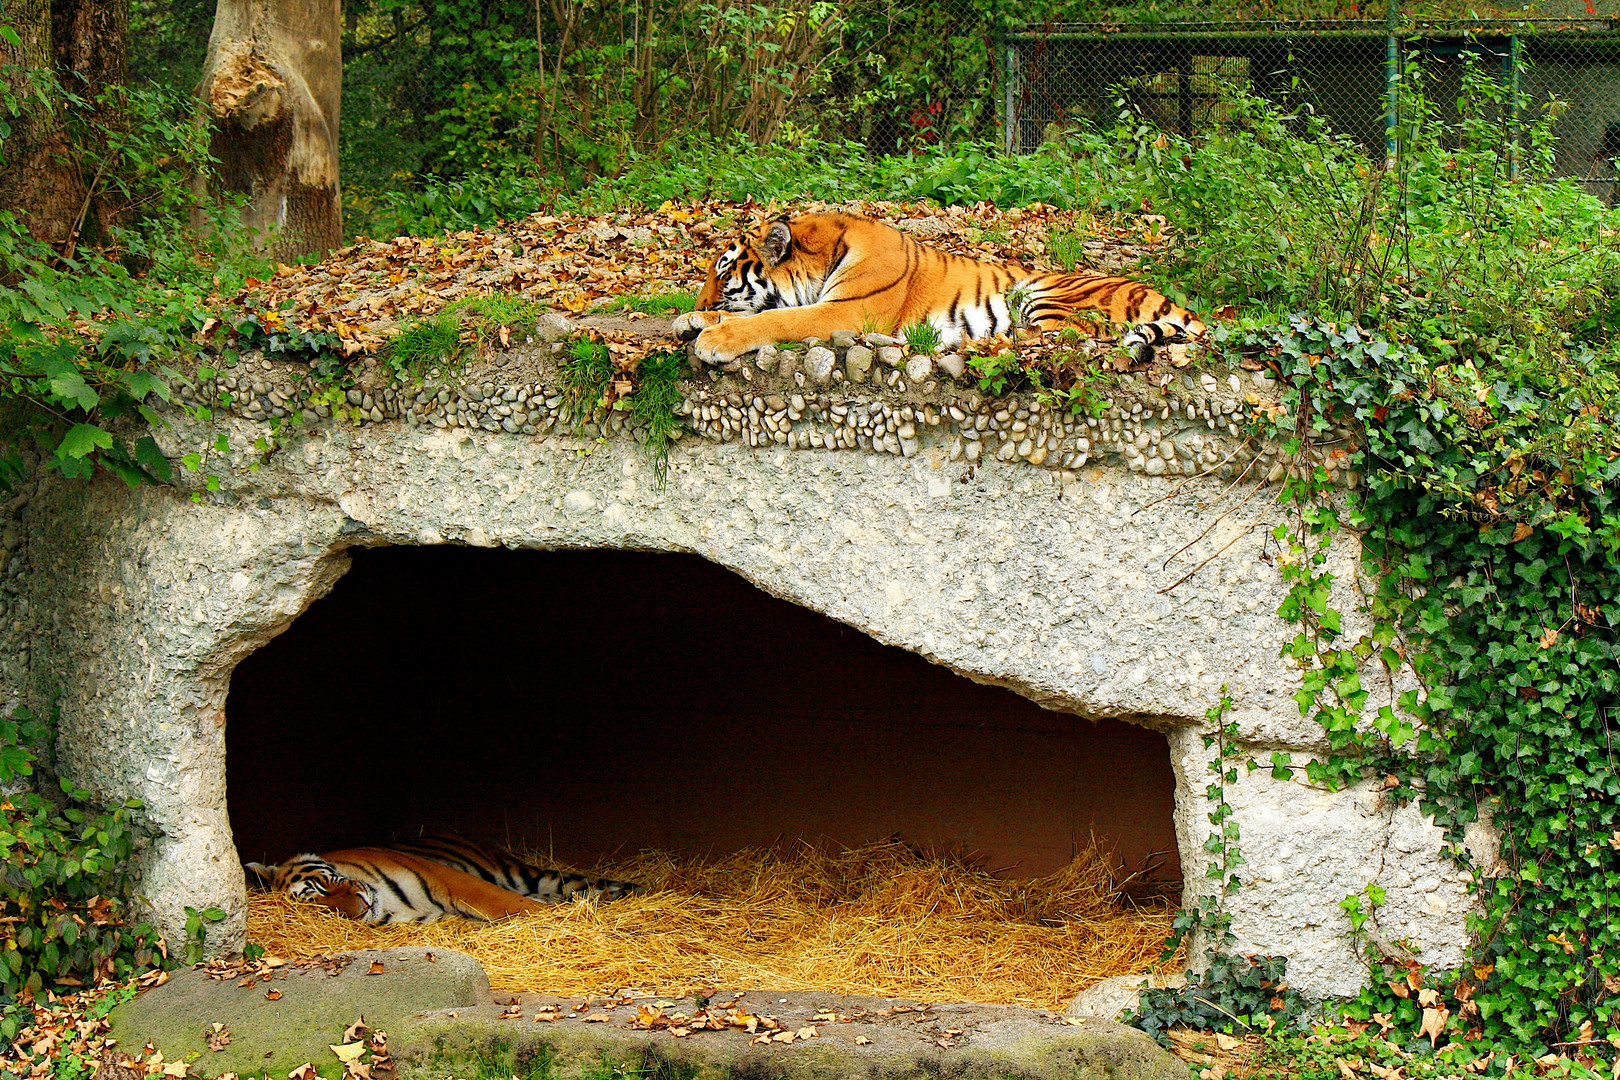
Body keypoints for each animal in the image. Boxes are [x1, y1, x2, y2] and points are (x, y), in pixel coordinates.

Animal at [670, 210, 1205, 367]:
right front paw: (691, 320)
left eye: (723, 272)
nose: (698, 300)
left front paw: (715, 338)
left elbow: (772, 317)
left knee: (1056, 340)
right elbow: (753, 312)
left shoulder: (843, 311)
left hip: (1045, 296)